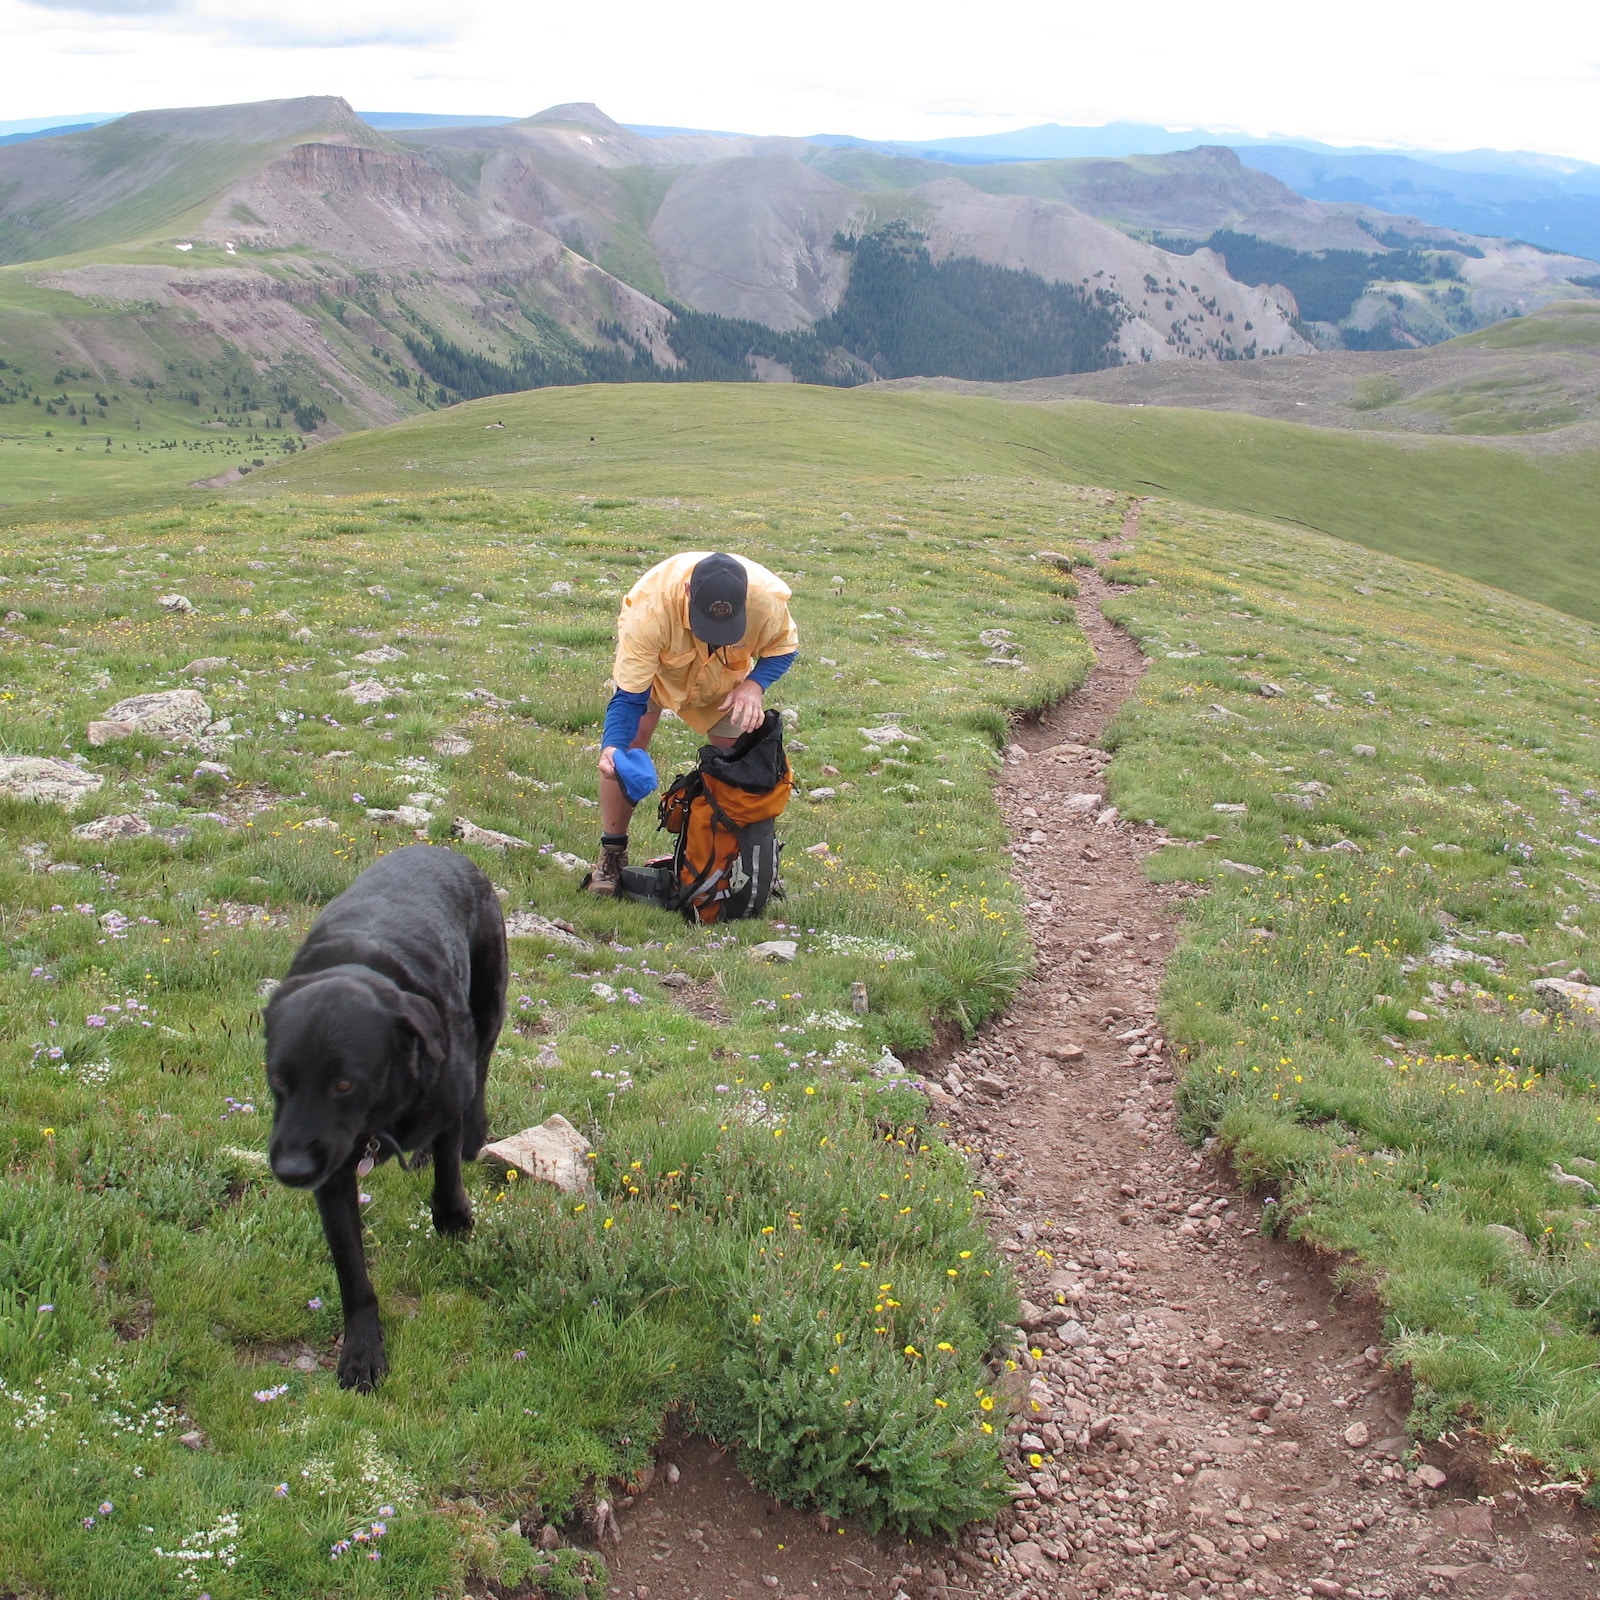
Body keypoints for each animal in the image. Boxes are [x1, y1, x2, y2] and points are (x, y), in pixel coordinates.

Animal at [265, 851, 505, 1388]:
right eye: (279, 1079)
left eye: (344, 1084)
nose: (291, 1170)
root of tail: (443, 850)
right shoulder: (333, 1173)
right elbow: (351, 1270)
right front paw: (361, 1351)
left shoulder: (446, 1094)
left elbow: (447, 1176)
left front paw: (453, 1220)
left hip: (490, 1003)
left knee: (482, 1070)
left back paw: (472, 1136)